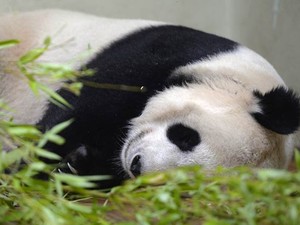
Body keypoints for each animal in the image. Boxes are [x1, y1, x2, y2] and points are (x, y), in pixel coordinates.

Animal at [0, 9, 300, 186]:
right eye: (186, 136)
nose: (138, 165)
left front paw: (77, 165)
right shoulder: (158, 55)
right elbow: (74, 114)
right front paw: (28, 165)